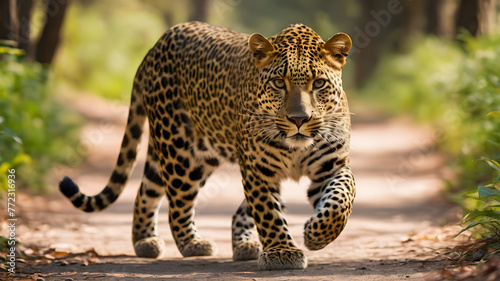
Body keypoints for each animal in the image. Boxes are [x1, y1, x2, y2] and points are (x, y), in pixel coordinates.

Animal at [59, 21, 356, 270]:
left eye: (319, 83)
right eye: (278, 83)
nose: (299, 119)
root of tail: (156, 45)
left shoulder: (331, 166)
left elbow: (341, 200)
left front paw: (316, 234)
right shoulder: (257, 170)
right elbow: (267, 211)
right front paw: (282, 252)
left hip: (186, 152)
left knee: (146, 189)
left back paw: (149, 241)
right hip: (180, 152)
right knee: (176, 204)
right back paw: (191, 243)